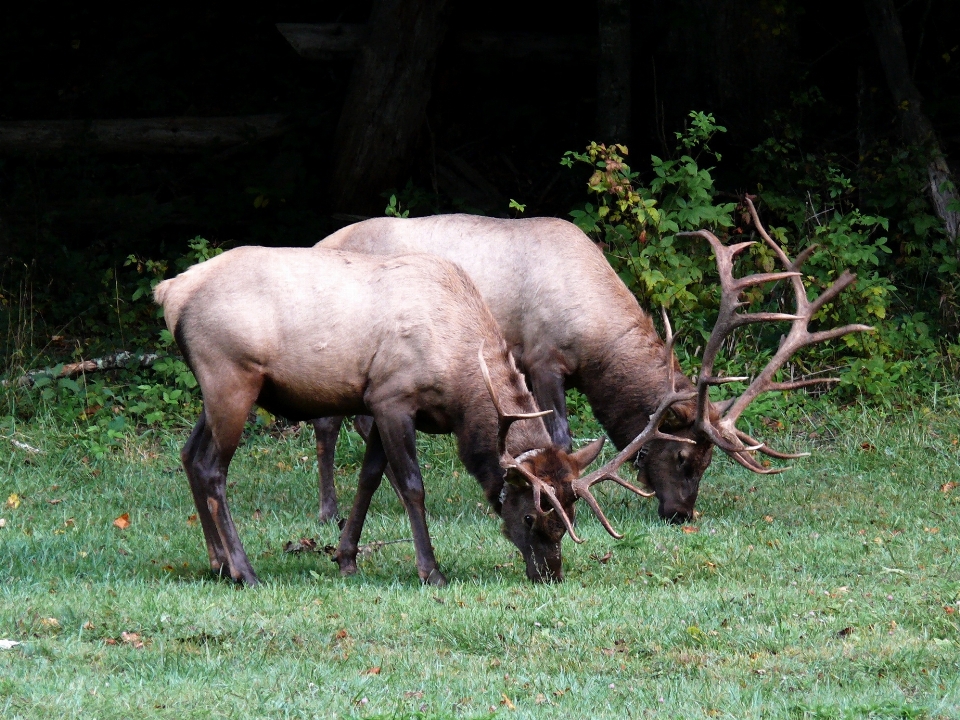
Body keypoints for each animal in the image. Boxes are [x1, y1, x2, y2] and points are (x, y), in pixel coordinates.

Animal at [314, 197, 872, 524]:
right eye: (685, 459)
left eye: (709, 462)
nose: (681, 514)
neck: (596, 340)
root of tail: (321, 240)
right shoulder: (542, 358)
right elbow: (559, 435)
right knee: (328, 423)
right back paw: (328, 510)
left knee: (355, 422)